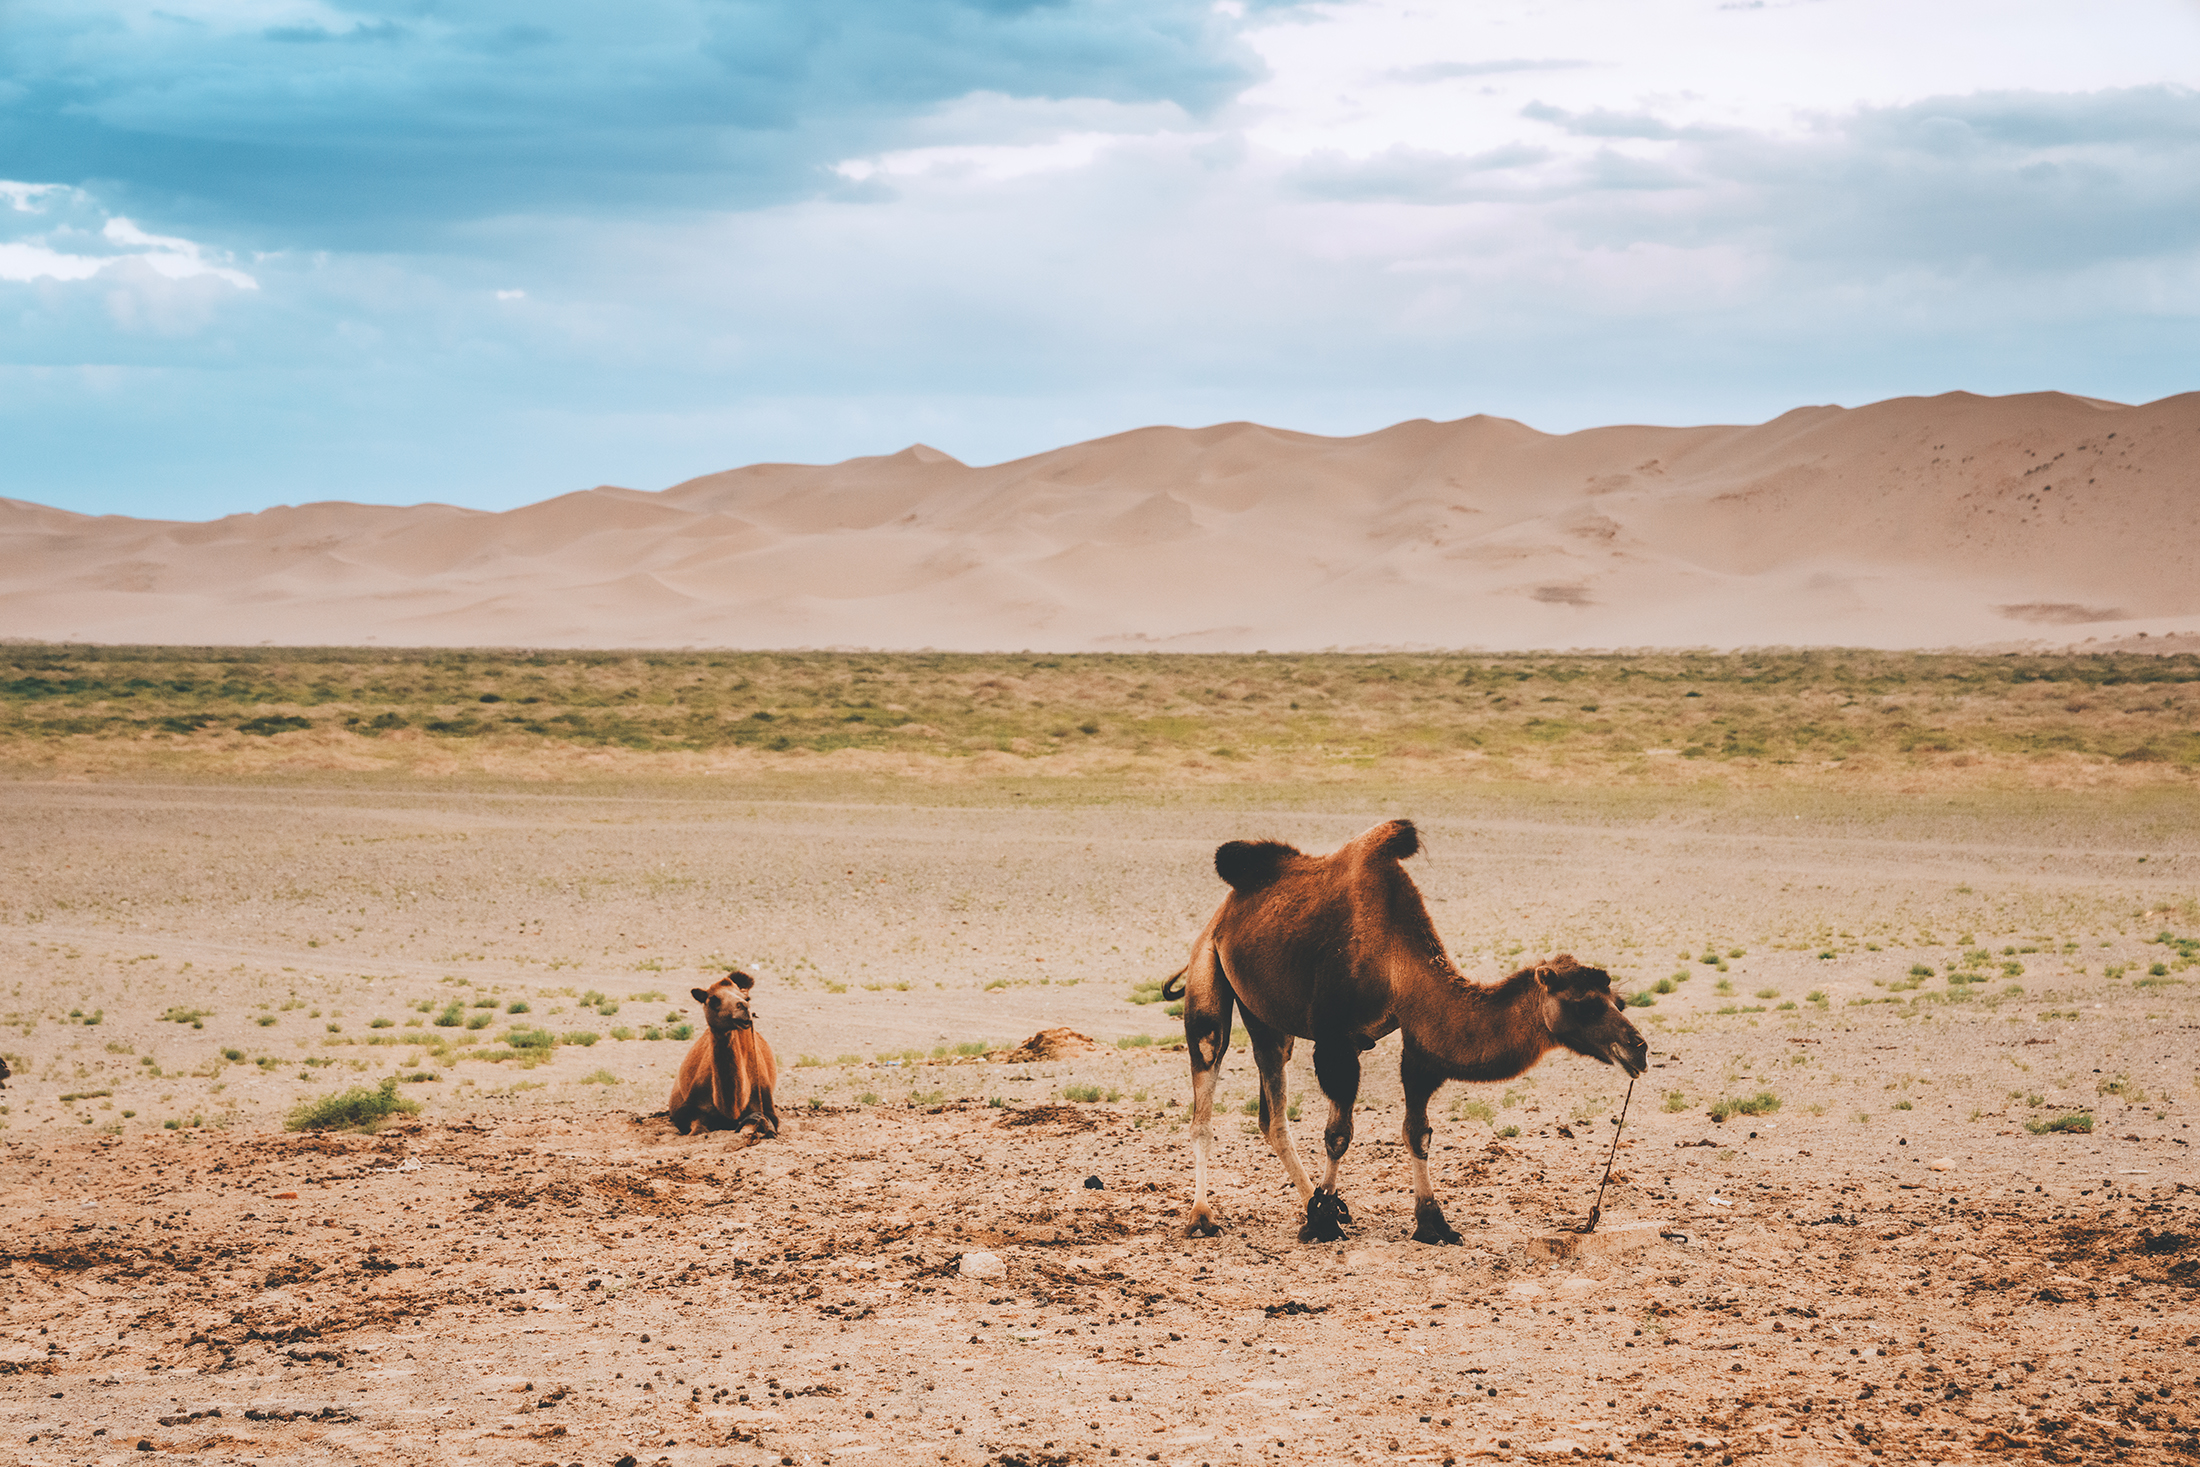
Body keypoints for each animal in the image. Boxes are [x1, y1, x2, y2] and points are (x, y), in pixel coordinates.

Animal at [1170, 822, 1654, 1249]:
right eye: (1585, 1004)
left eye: (1618, 1000)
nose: (1639, 1048)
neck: (1396, 962)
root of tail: (1226, 909)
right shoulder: (1336, 1040)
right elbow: (1338, 1132)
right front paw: (1323, 1225)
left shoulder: (1420, 1041)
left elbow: (1417, 1130)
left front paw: (1432, 1224)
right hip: (1208, 974)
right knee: (1207, 1083)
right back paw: (1203, 1218)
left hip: (1267, 1018)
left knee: (1272, 1113)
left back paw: (1318, 1203)